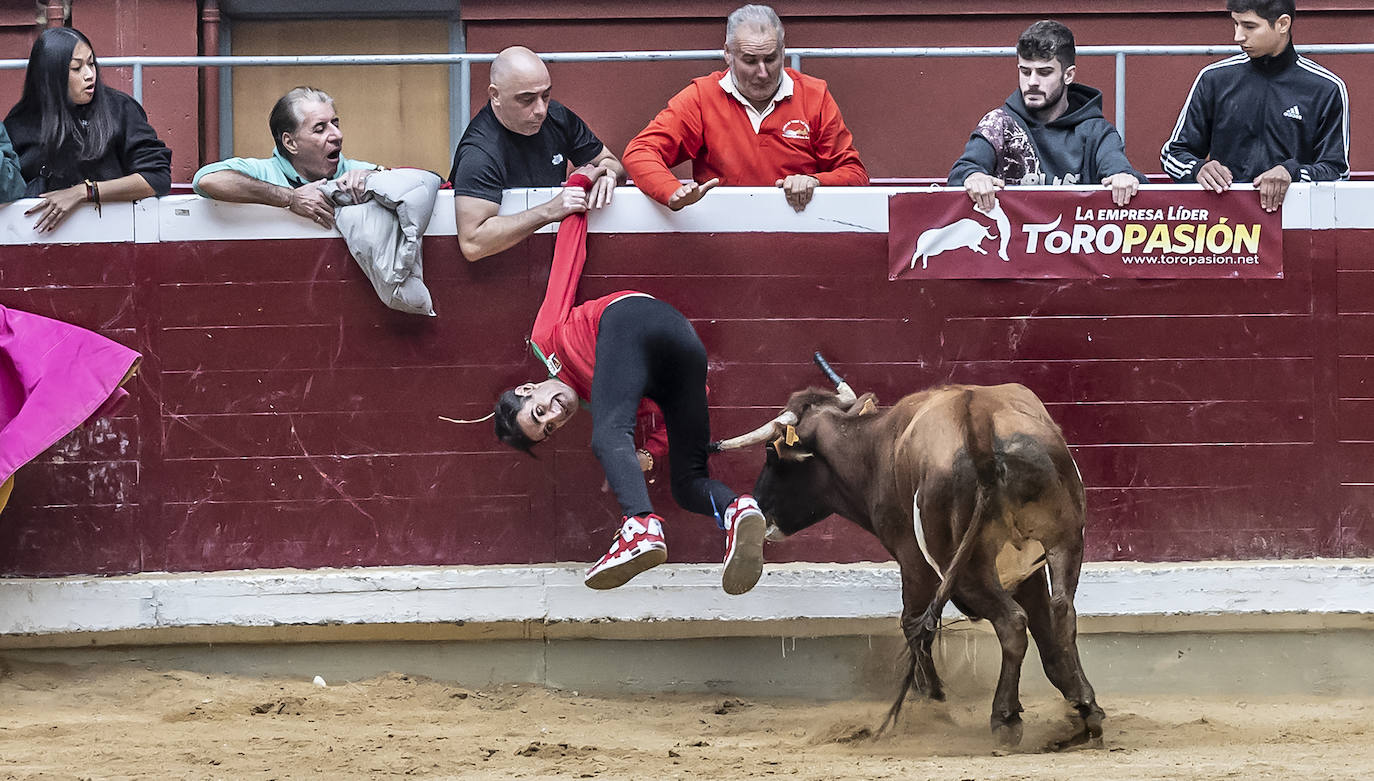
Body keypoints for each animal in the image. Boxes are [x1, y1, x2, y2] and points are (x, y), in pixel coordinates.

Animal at [719, 371, 1104, 748]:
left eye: (772, 453)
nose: (759, 505)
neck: (875, 448)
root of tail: (978, 420)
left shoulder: (912, 560)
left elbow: (912, 623)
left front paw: (932, 701)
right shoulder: (1027, 569)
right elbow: (1045, 633)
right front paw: (1074, 697)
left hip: (964, 566)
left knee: (1010, 621)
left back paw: (1005, 717)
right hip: (1064, 541)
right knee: (1061, 612)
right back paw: (1086, 710)